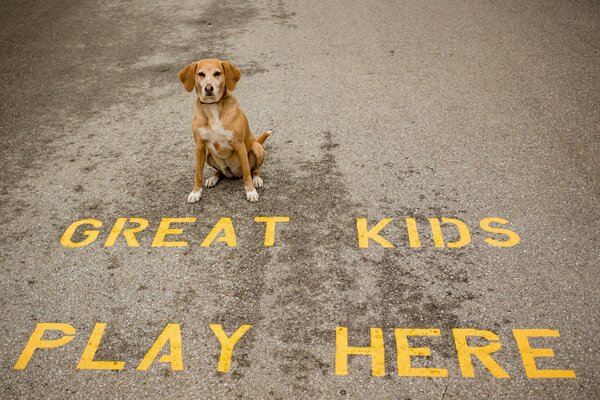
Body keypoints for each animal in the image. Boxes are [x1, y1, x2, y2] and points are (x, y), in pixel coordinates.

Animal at [176, 58, 270, 203]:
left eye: (217, 73)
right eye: (201, 74)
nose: (209, 88)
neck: (213, 107)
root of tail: (233, 174)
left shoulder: (239, 144)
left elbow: (247, 173)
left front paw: (250, 191)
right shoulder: (200, 147)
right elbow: (198, 173)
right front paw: (196, 192)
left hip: (257, 147)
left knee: (254, 170)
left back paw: (257, 179)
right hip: (208, 155)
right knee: (219, 172)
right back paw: (213, 178)